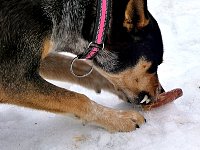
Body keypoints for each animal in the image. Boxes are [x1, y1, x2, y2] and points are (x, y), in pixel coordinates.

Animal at [0, 0, 164, 132]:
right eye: (153, 66)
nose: (161, 92)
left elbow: (74, 66)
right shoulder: (12, 78)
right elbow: (79, 99)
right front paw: (120, 119)